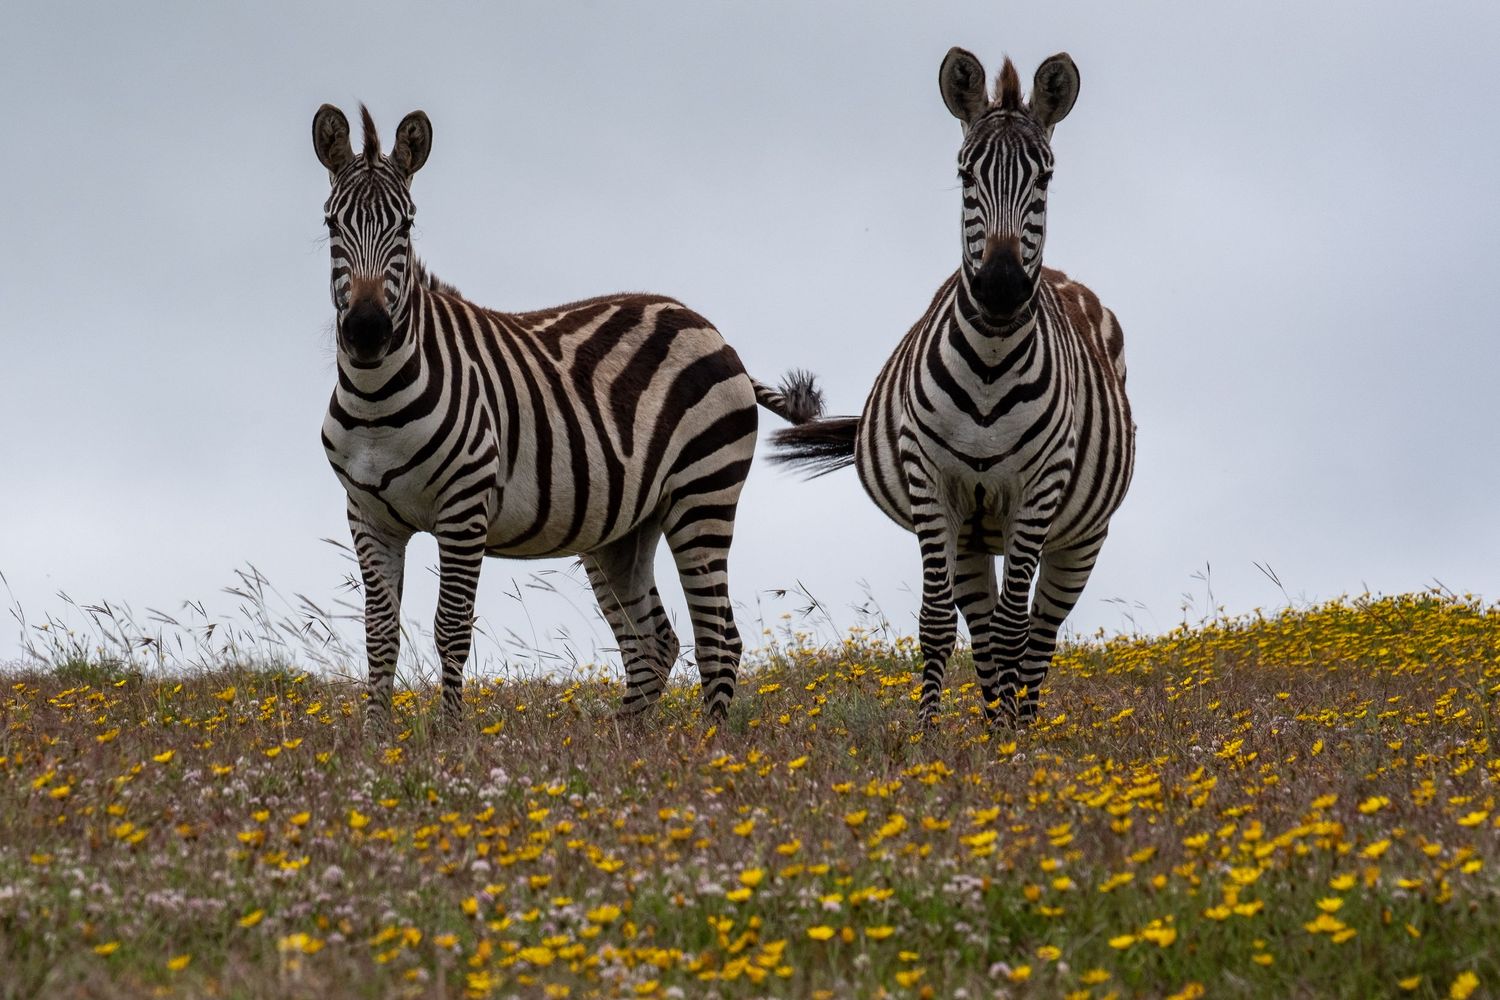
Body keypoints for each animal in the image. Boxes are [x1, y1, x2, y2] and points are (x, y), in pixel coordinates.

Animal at [310, 104, 821, 727]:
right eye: (332, 225)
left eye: (405, 226)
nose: (366, 333)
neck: (376, 399)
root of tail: (712, 329)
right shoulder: (367, 517)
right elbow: (379, 634)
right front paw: (379, 741)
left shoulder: (464, 509)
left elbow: (450, 630)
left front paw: (449, 741)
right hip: (622, 529)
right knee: (654, 641)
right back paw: (625, 744)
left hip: (703, 496)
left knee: (718, 638)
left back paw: (709, 747)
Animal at [773, 50, 1134, 725]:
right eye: (965, 176)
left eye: (1045, 180)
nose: (1000, 287)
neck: (991, 365)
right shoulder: (932, 483)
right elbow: (939, 624)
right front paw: (928, 737)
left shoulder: (1038, 490)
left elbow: (1019, 631)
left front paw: (1010, 743)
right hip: (970, 530)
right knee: (985, 627)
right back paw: (994, 723)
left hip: (1080, 535)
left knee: (1039, 631)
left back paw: (1021, 726)